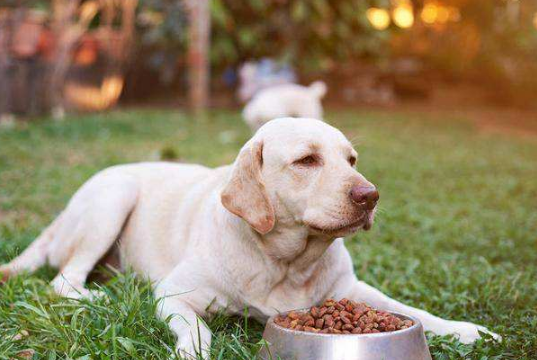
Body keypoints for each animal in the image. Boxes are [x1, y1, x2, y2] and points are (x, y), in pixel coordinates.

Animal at [0, 117, 496, 358]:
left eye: (351, 159)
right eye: (307, 160)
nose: (370, 195)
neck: (287, 262)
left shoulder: (351, 291)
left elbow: (413, 311)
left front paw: (466, 330)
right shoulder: (173, 294)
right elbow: (196, 327)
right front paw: (194, 350)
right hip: (113, 195)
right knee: (62, 282)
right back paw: (98, 295)